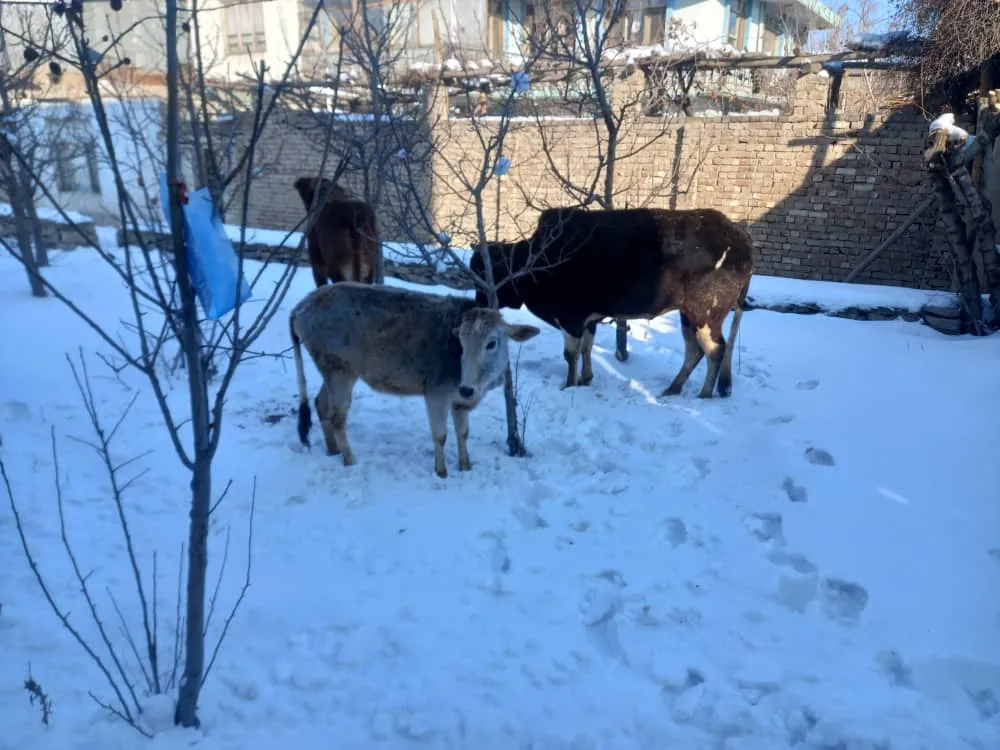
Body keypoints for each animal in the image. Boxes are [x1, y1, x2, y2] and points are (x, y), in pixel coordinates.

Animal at [290, 281, 541, 478]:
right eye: (461, 341)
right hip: (339, 370)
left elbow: (463, 433)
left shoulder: (459, 401)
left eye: (491, 343)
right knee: (337, 416)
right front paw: (441, 473)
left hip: (333, 371)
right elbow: (440, 435)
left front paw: (466, 467)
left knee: (321, 405)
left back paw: (333, 450)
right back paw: (350, 460)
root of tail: (304, 303)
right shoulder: (436, 393)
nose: (467, 389)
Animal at [469, 206, 754, 399]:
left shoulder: (571, 317)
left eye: (486, 272)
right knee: (695, 351)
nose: (480, 305)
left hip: (706, 312)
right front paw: (586, 379)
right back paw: (673, 388)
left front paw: (569, 384)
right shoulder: (589, 317)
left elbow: (571, 354)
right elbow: (586, 348)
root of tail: (740, 239)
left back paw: (704, 394)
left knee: (715, 349)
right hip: (688, 314)